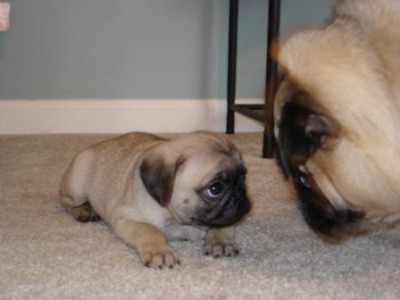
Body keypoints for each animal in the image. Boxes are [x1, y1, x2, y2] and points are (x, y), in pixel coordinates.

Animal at [59, 132, 250, 268]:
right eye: (215, 188)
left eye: (244, 176)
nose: (240, 193)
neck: (176, 219)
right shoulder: (124, 218)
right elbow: (149, 229)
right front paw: (160, 252)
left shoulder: (226, 217)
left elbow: (223, 224)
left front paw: (220, 241)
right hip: (77, 188)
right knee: (65, 200)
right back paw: (84, 210)